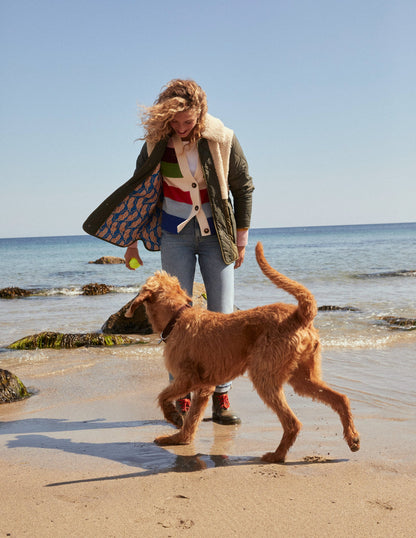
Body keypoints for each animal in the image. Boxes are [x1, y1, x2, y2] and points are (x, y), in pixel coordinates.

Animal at [125, 241, 360, 458]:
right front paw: (180, 438)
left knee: (293, 422)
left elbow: (163, 396)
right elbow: (192, 419)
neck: (178, 316)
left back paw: (276, 456)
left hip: (264, 375)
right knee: (340, 398)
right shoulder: (205, 387)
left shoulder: (188, 378)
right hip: (303, 377)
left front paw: (173, 417)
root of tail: (299, 315)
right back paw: (352, 438)